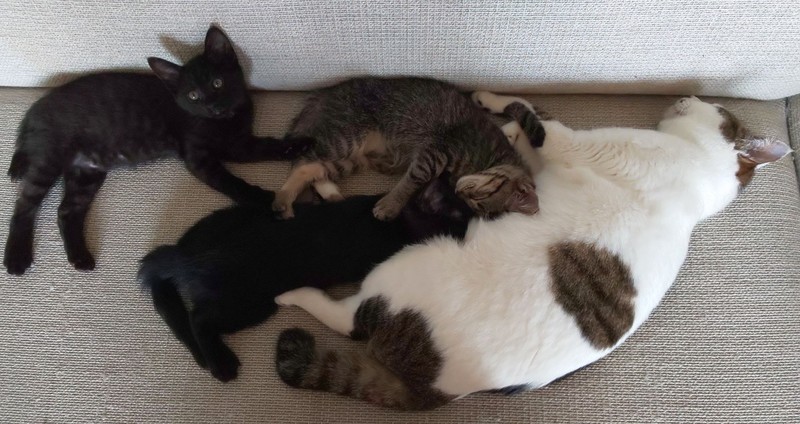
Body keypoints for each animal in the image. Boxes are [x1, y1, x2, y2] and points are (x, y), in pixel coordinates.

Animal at [3, 26, 312, 275]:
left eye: (218, 83)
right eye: (193, 96)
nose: (213, 106)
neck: (224, 121)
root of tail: (35, 109)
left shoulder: (239, 143)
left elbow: (265, 147)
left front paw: (297, 145)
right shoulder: (199, 157)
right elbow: (229, 181)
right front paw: (261, 198)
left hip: (86, 172)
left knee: (66, 210)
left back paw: (80, 257)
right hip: (51, 158)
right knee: (25, 205)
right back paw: (16, 257)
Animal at [137, 174, 473, 382]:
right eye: (460, 219)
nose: (473, 230)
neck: (396, 222)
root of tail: (185, 257)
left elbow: (335, 197)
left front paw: (323, 185)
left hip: (228, 219)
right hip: (250, 303)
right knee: (199, 319)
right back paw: (221, 364)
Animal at [271, 77, 538, 221]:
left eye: (476, 205)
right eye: (479, 199)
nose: (461, 193)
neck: (491, 155)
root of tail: (323, 94)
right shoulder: (436, 152)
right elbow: (412, 180)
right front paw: (390, 205)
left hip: (348, 158)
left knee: (313, 169)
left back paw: (325, 194)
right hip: (344, 138)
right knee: (301, 161)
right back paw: (284, 198)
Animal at [272, 94, 790, 410]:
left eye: (715, 106)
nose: (688, 95)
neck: (702, 175)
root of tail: (433, 388)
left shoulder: (566, 139)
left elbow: (527, 112)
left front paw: (493, 105)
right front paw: (505, 135)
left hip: (405, 268)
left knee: (347, 317)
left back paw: (292, 293)